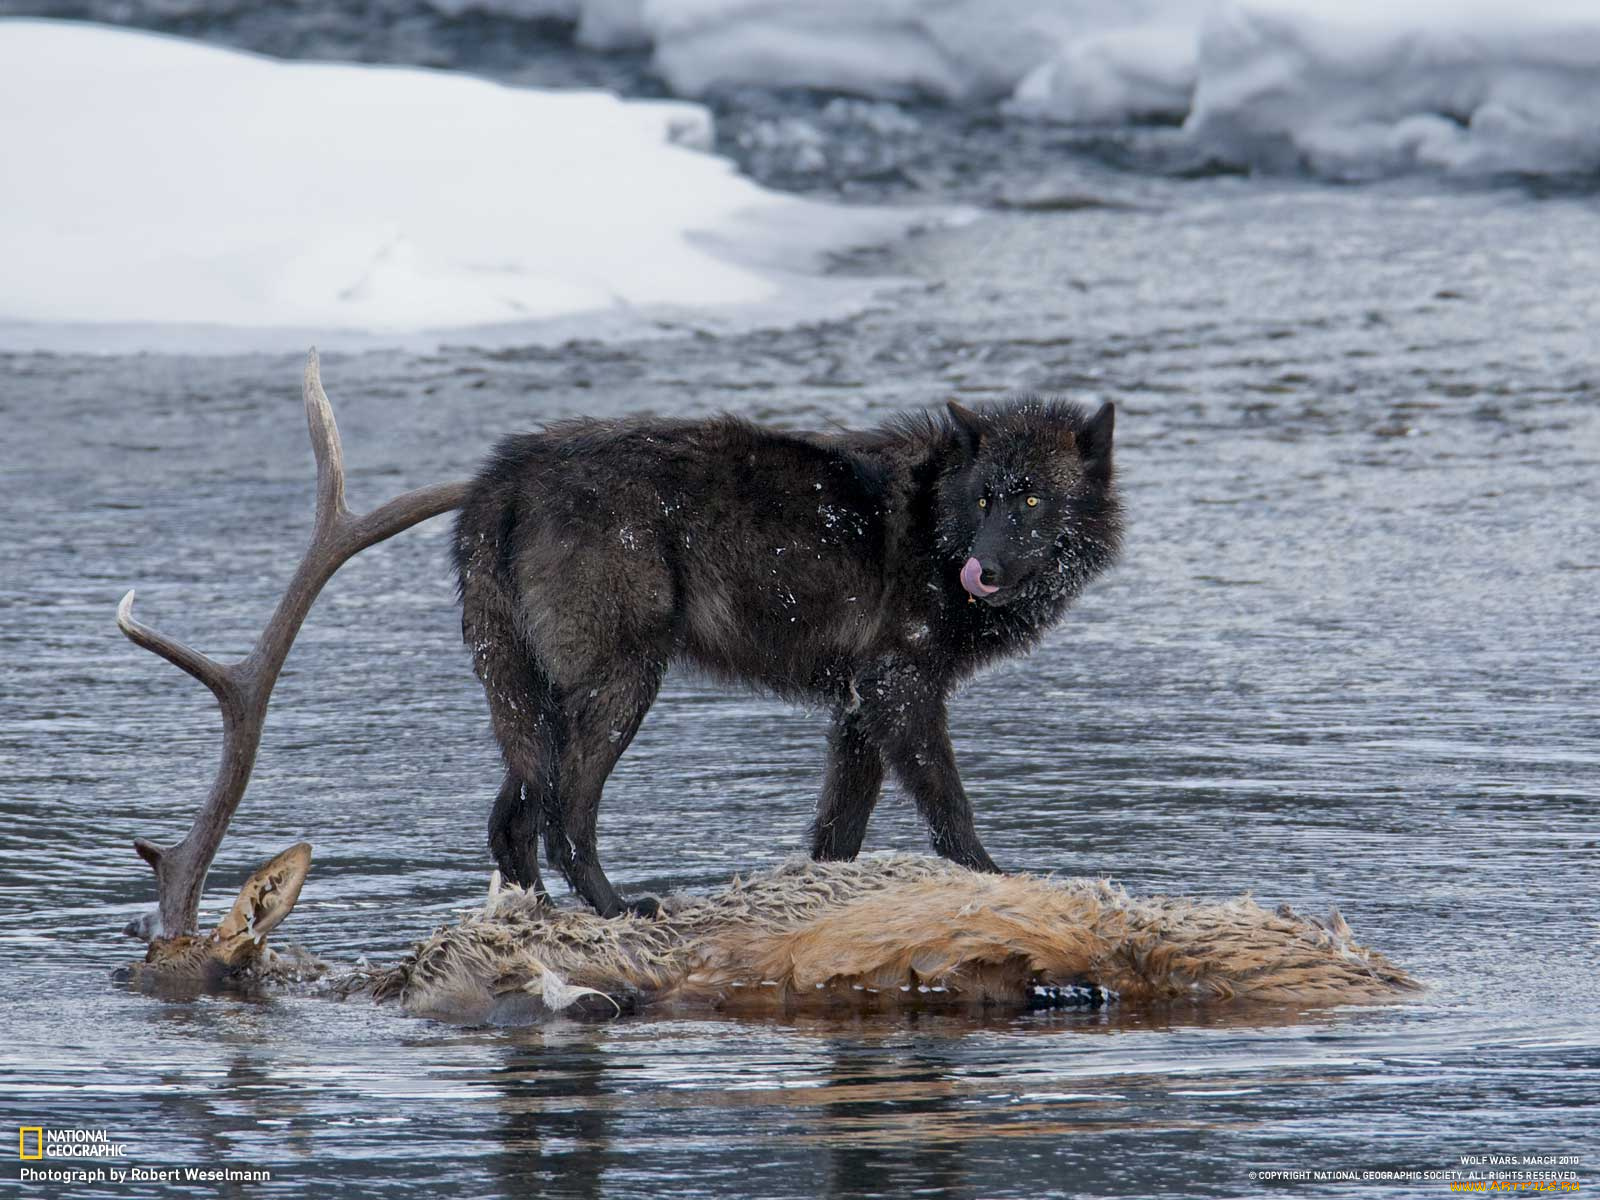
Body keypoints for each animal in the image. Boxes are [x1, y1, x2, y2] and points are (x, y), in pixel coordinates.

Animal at [451, 400, 1126, 915]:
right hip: (622, 687)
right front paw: (994, 879)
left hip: (541, 703)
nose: (980, 570)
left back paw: (534, 915)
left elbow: (839, 828)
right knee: (564, 816)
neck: (937, 521)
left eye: (1032, 502)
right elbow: (948, 804)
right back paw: (615, 907)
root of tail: (506, 475)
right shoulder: (899, 686)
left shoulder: (861, 704)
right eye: (985, 500)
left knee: (512, 818)